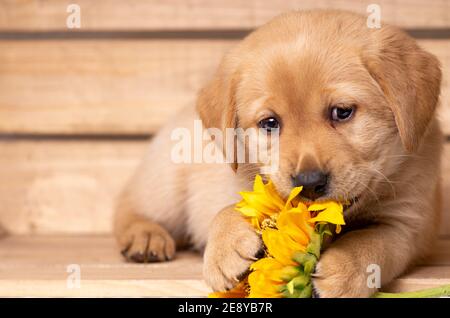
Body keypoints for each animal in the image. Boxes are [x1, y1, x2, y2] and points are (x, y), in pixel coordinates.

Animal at [113, 10, 442, 298]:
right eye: (270, 123)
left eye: (342, 112)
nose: (309, 182)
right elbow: (228, 209)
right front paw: (224, 248)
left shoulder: (407, 224)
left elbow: (372, 239)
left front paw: (345, 268)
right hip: (166, 183)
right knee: (127, 208)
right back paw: (145, 236)